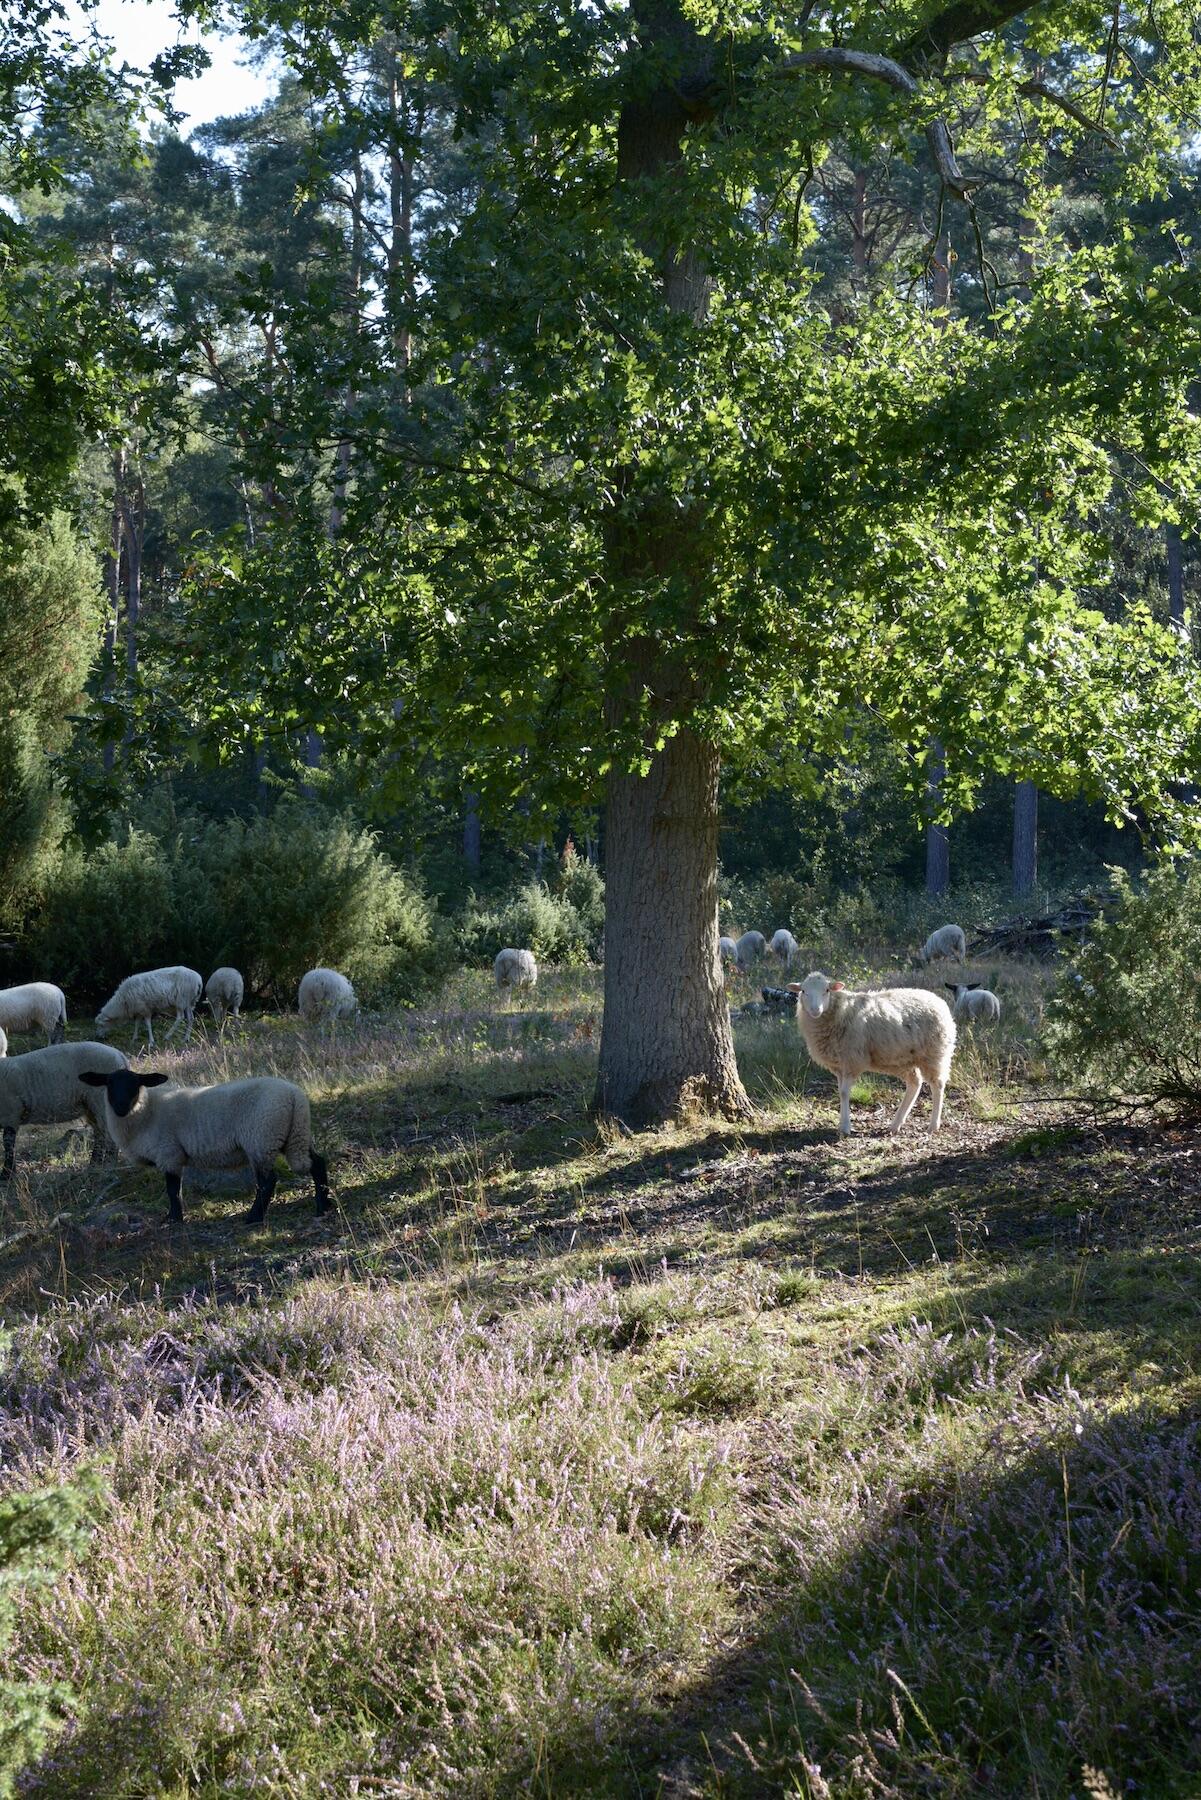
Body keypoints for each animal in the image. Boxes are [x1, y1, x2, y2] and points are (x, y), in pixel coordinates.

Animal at [0, 1044, 127, 1180]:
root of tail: (121, 1056)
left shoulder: (11, 1114)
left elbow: (8, 1144)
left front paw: (7, 1174)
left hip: (100, 1099)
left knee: (109, 1136)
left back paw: (110, 1166)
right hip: (90, 1105)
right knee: (100, 1135)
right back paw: (93, 1166)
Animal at [77, 1065, 331, 1224]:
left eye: (135, 1084)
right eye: (109, 1083)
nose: (120, 1107)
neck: (145, 1111)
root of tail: (295, 1096)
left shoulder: (169, 1153)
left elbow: (172, 1190)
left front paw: (174, 1219)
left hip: (261, 1139)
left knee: (268, 1181)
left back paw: (254, 1217)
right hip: (295, 1135)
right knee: (318, 1164)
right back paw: (323, 1207)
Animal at [792, 972, 950, 1137]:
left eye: (827, 990)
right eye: (803, 991)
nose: (815, 1010)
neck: (839, 1011)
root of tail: (938, 1000)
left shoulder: (852, 1061)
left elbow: (844, 1093)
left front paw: (846, 1128)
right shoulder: (839, 1065)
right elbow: (840, 1092)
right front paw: (842, 1125)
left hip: (934, 1054)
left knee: (937, 1085)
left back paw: (933, 1125)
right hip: (904, 1060)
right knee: (915, 1083)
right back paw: (896, 1124)